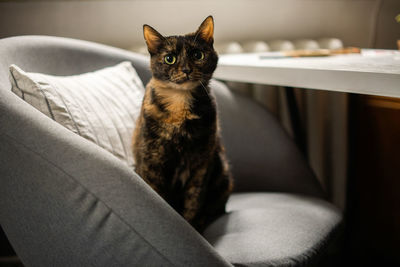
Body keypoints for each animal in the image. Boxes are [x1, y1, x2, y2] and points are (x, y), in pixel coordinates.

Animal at [133, 15, 233, 231]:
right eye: (169, 58)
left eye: (197, 55)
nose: (186, 69)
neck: (179, 105)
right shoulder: (152, 161)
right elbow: (159, 199)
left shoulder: (201, 164)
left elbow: (193, 201)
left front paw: (192, 228)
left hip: (222, 173)